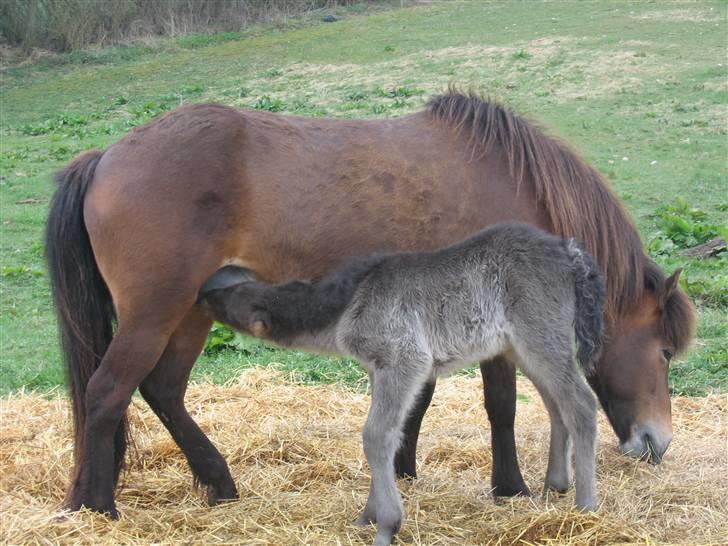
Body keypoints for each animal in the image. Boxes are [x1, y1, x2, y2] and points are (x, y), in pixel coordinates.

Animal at [198, 222, 604, 544]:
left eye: (229, 300)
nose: (204, 290)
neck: (351, 300)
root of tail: (567, 251)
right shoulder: (378, 370)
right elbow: (386, 437)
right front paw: (367, 515)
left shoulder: (404, 362)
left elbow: (375, 435)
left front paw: (387, 525)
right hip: (521, 348)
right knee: (557, 405)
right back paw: (556, 484)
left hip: (540, 337)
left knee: (581, 404)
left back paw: (585, 507)